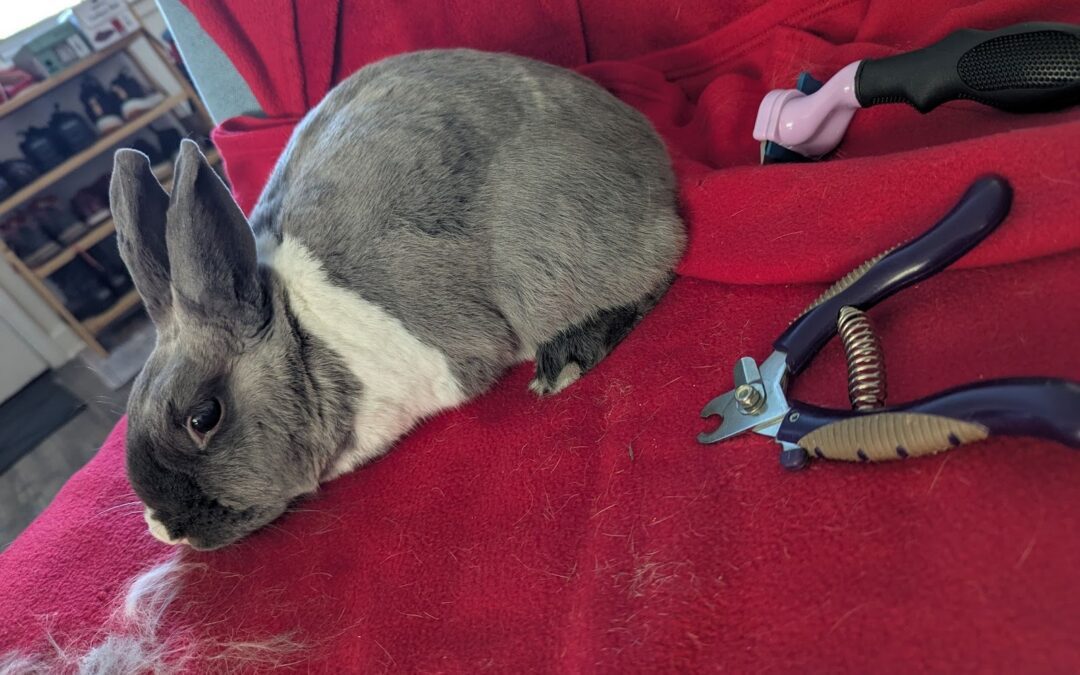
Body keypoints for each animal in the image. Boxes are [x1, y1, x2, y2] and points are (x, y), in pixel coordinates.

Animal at [111, 49, 685, 550]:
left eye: (204, 417)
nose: (167, 529)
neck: (302, 339)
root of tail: (649, 151)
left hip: (547, 250)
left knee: (655, 266)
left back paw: (563, 363)